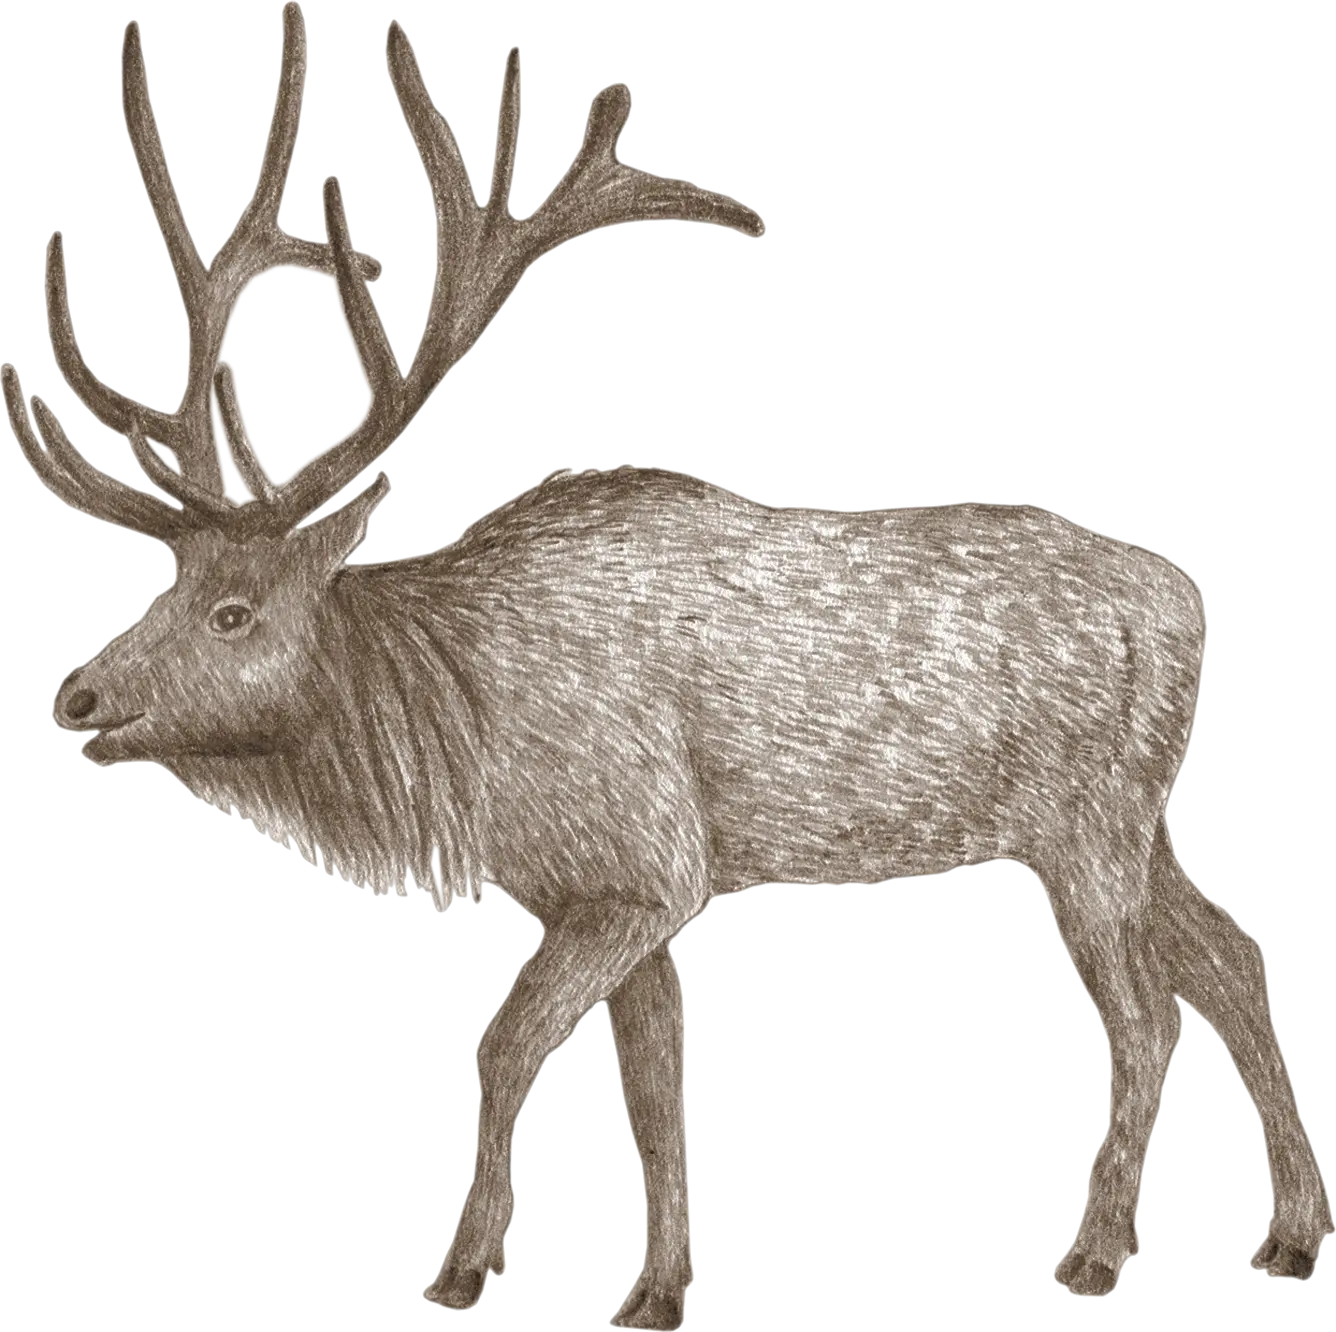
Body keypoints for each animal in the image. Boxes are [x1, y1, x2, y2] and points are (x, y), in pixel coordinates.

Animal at [3, 2, 1331, 1326]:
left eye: (233, 611)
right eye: (167, 587)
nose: (76, 694)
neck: (458, 742)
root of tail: (1189, 601)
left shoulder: (645, 867)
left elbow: (505, 1044)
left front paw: (461, 1266)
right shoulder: (613, 890)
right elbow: (655, 1091)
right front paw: (656, 1288)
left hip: (1085, 822)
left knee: (1145, 1011)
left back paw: (1096, 1253)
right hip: (1141, 816)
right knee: (1236, 953)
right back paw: (1288, 1233)